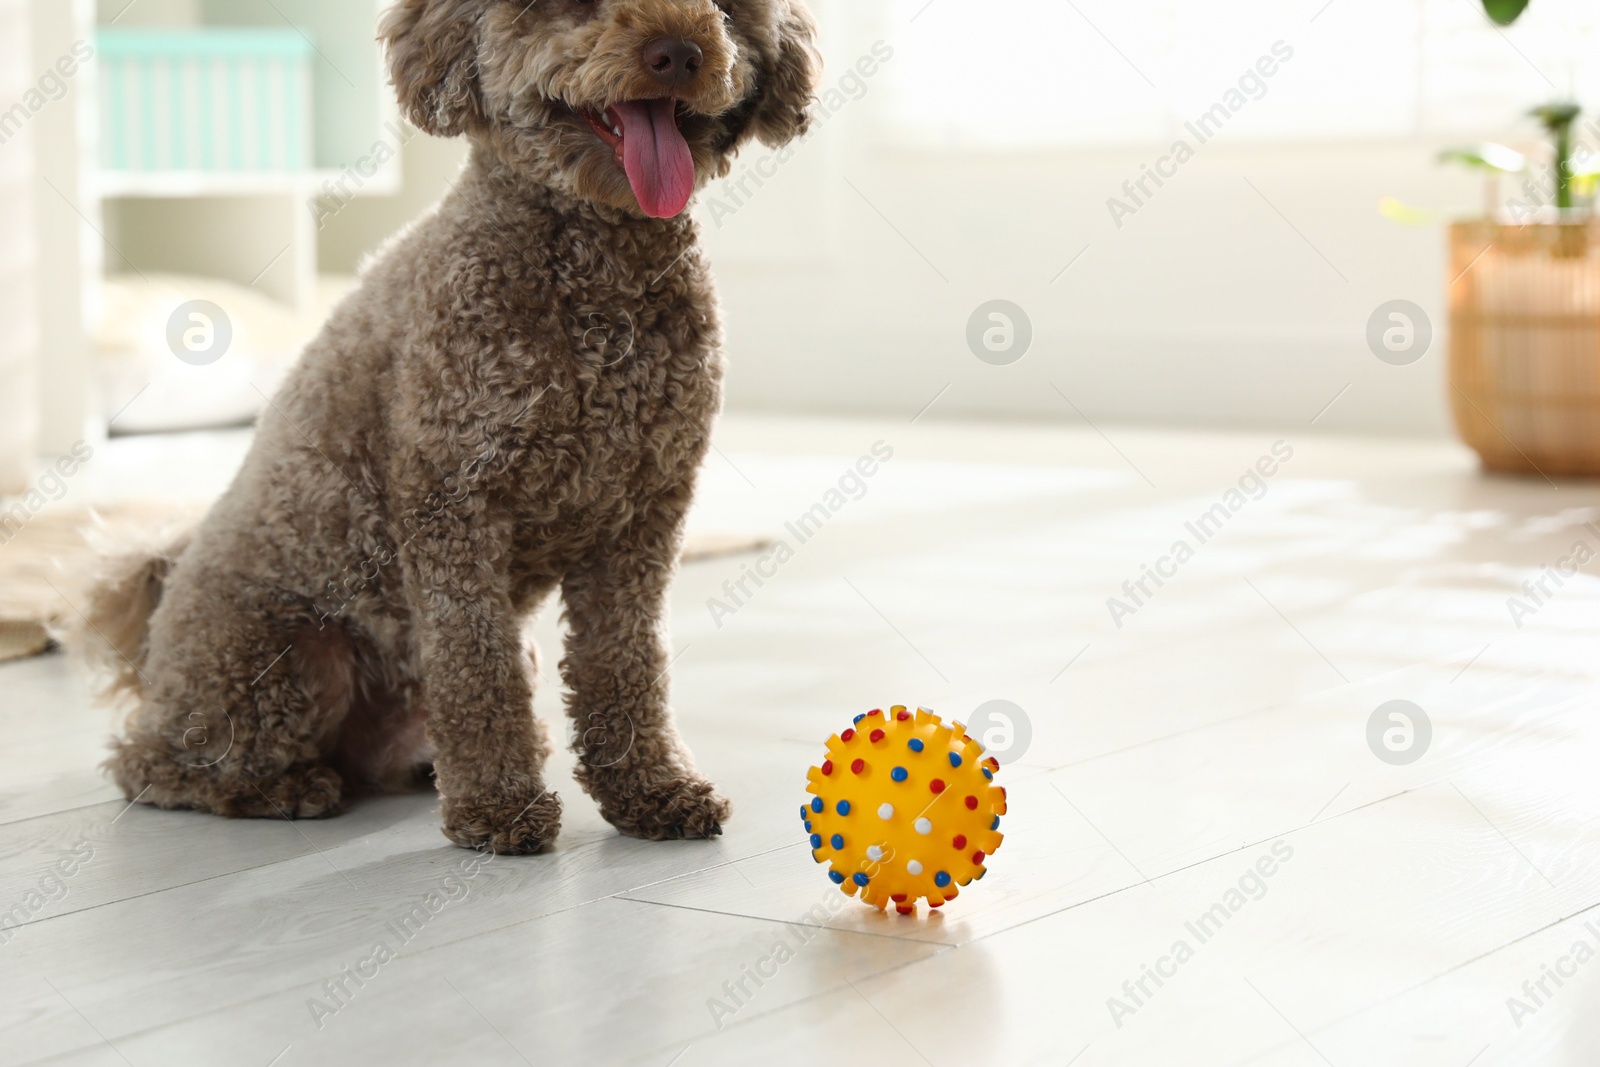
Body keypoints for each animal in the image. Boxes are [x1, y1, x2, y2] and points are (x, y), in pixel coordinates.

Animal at [81, 0, 819, 857]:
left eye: (726, 10)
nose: (679, 52)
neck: (595, 265)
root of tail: (156, 631)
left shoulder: (641, 517)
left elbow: (625, 662)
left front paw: (651, 789)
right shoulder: (455, 503)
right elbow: (476, 668)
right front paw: (499, 809)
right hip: (288, 657)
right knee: (151, 765)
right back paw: (283, 787)